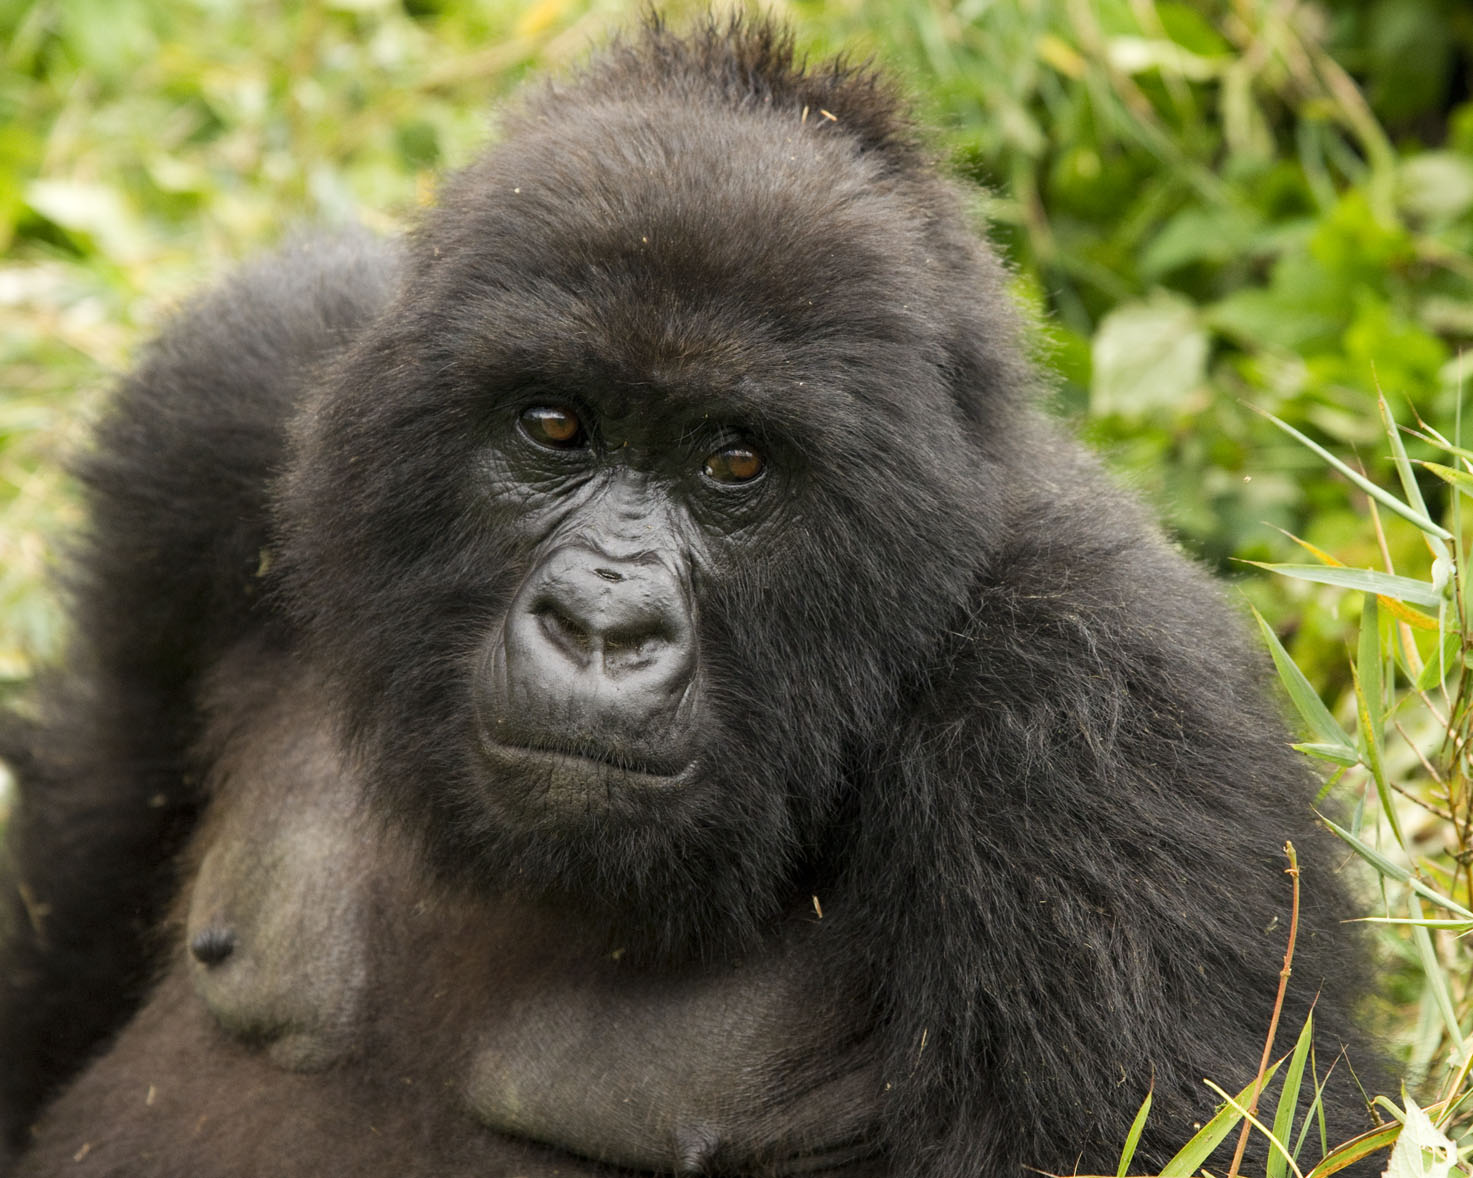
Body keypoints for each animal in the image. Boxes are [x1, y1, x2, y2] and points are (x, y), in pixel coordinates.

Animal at [0, 16, 1378, 1178]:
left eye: (735, 462)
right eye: (554, 424)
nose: (603, 626)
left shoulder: (1107, 720)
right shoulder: (233, 400)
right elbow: (86, 836)